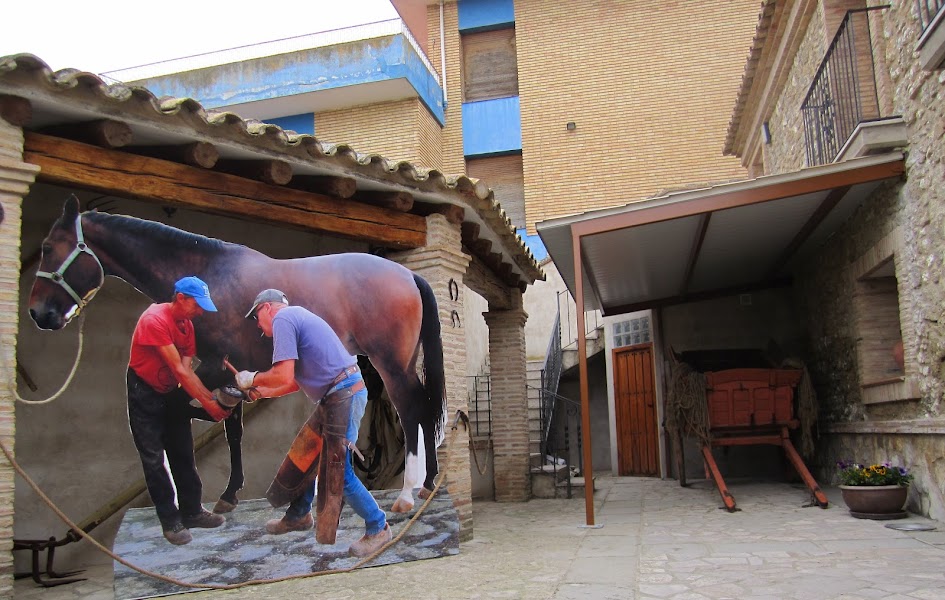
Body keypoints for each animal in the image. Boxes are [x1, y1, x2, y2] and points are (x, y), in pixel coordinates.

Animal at [25, 196, 446, 510]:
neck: (209, 277)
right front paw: (228, 495)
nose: (39, 313)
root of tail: (409, 275)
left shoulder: (214, 364)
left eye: (47, 248)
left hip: (391, 364)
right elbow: (232, 426)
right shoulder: (230, 369)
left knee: (412, 409)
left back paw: (408, 493)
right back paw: (427, 484)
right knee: (424, 408)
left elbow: (199, 411)